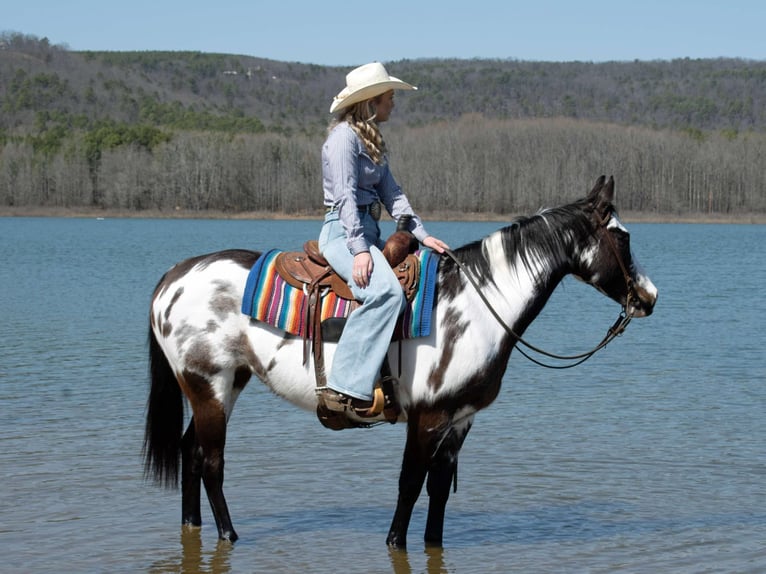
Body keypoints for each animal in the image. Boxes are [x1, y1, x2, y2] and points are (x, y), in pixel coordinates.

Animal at [143, 175, 657, 546]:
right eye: (623, 238)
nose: (649, 297)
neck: (479, 303)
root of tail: (173, 277)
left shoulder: (459, 420)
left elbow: (437, 493)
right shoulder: (427, 418)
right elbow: (410, 485)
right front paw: (395, 543)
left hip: (225, 384)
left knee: (191, 453)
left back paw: (194, 526)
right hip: (209, 384)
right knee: (210, 462)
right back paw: (229, 536)